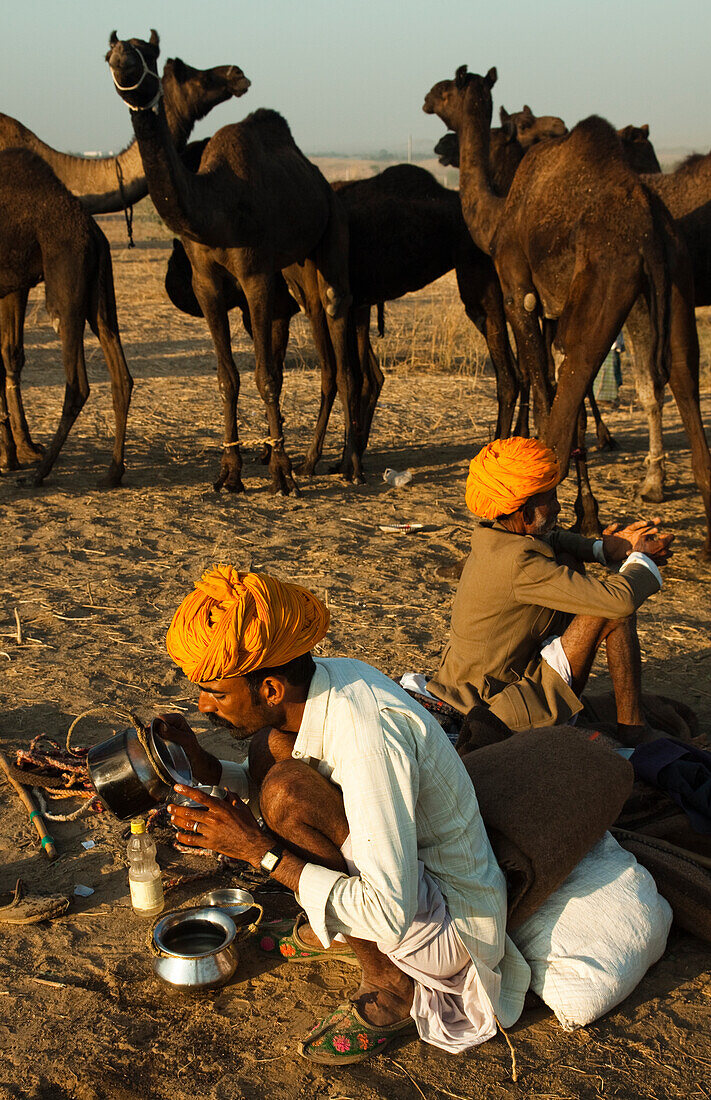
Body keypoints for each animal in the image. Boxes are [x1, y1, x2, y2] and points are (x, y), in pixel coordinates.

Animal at [0, 147, 132, 486]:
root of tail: (93, 232)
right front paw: (10, 457)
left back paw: (40, 473)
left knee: (77, 386)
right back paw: (113, 472)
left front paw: (11, 459)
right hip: (100, 294)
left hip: (64, 288)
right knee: (121, 374)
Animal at [107, 30, 358, 495]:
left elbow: (266, 376)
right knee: (327, 355)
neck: (218, 207)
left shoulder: (255, 275)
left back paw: (349, 464)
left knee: (340, 330)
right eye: (108, 52)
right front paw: (230, 472)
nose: (121, 59)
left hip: (332, 229)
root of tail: (321, 180)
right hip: (297, 273)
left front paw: (282, 473)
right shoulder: (206, 283)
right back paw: (312, 459)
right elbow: (228, 377)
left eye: (149, 52)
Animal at [422, 64, 711, 554]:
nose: (425, 100)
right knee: (682, 372)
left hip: (607, 283)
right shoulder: (555, 308)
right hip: (677, 280)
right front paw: (585, 513)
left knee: (576, 378)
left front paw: (579, 514)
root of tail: (650, 231)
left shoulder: (518, 290)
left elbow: (543, 391)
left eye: (446, 90)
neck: (496, 217)